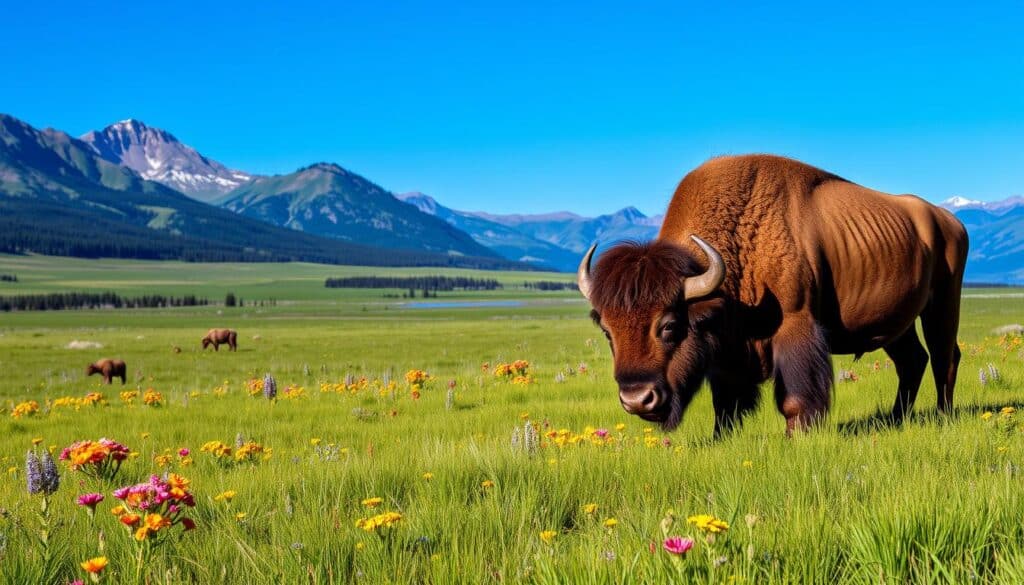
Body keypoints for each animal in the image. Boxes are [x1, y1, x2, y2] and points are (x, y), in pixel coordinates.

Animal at [577, 153, 966, 436]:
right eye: (608, 332)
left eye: (669, 325)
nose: (636, 400)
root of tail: (948, 220)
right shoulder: (727, 350)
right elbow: (726, 404)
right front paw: (720, 438)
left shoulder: (794, 326)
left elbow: (793, 398)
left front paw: (797, 437)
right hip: (896, 325)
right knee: (912, 360)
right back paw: (896, 419)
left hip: (943, 303)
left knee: (944, 356)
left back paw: (943, 417)